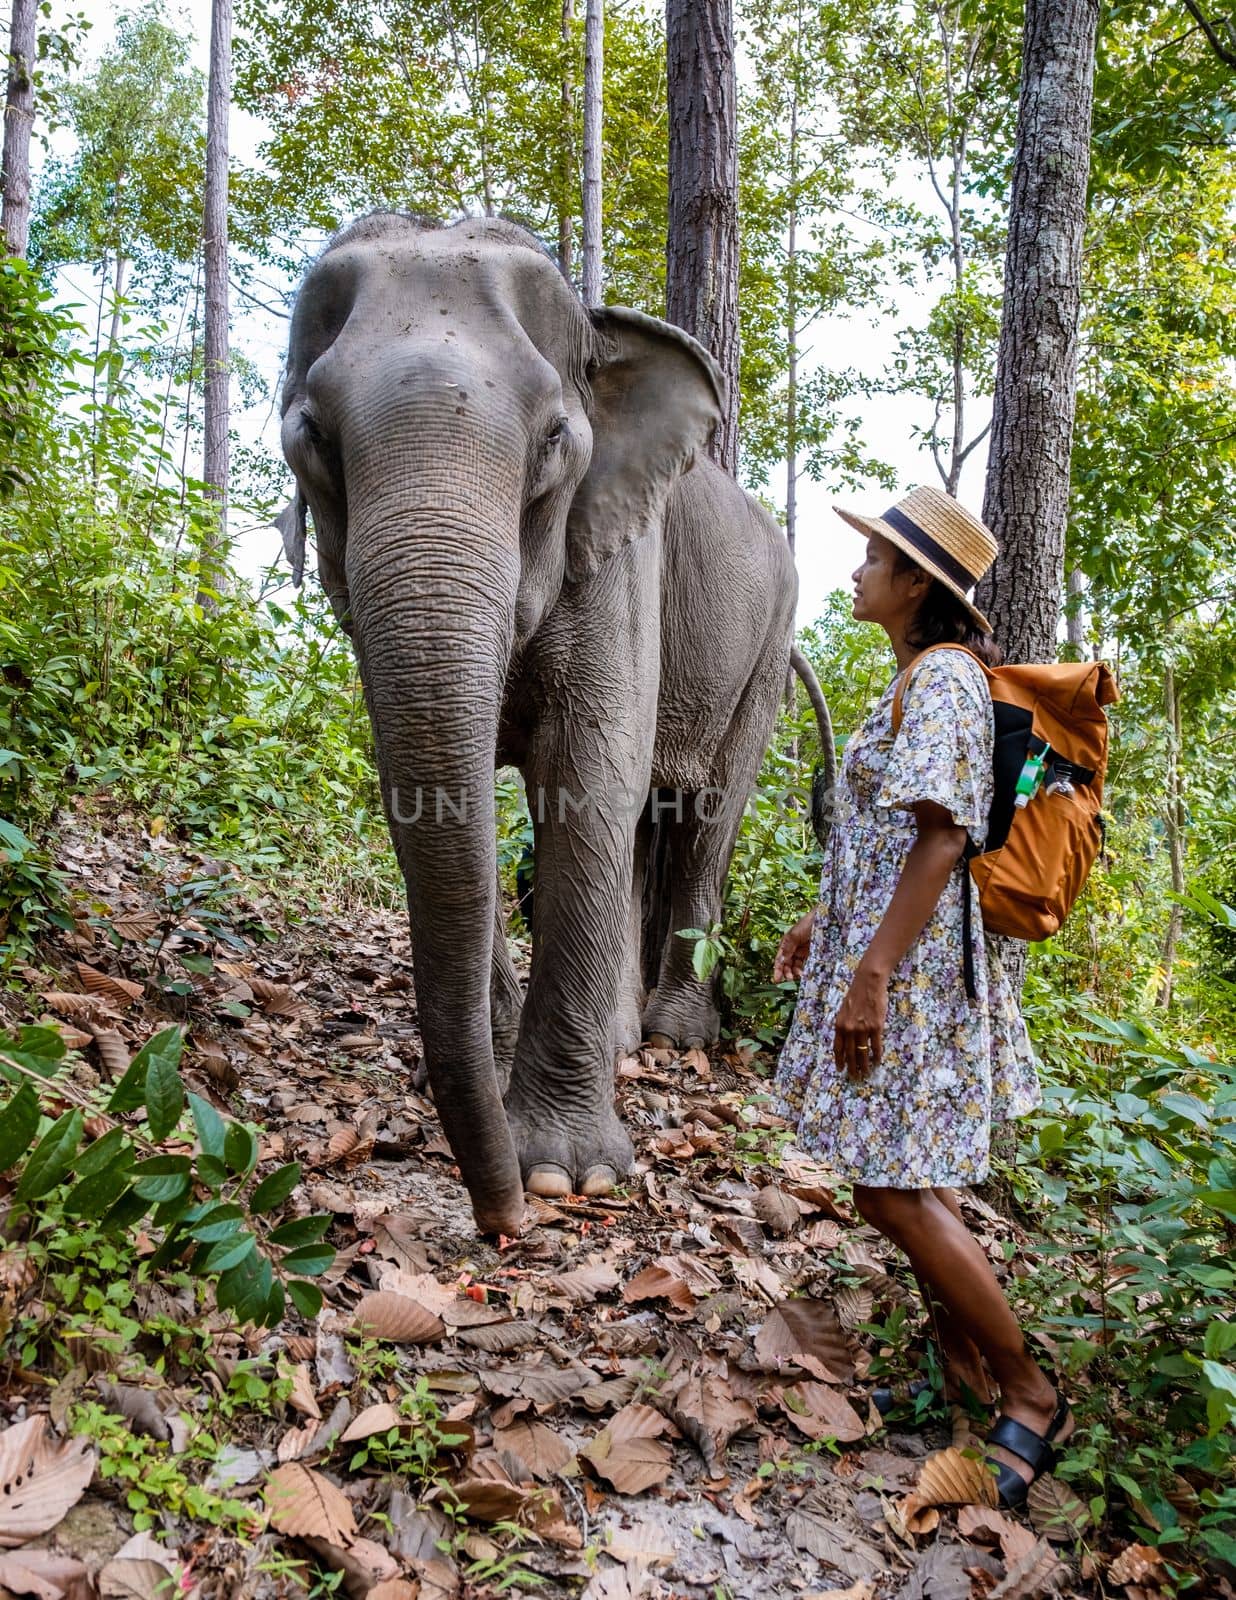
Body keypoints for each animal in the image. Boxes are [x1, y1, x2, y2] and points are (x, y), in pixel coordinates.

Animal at [278, 212, 832, 1235]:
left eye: (553, 440)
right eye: (314, 439)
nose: (501, 1222)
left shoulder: (619, 555)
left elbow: (589, 777)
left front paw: (567, 1177)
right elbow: (419, 788)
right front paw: (497, 1083)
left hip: (769, 649)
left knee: (706, 816)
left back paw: (669, 1038)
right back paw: (622, 1040)